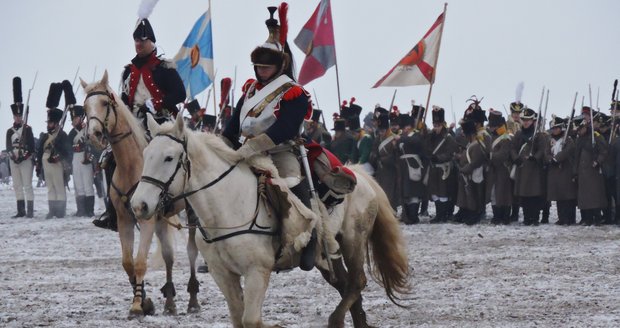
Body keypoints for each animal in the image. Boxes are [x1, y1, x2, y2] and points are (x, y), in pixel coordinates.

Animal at [80, 72, 200, 316]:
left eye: (104, 103)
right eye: (85, 107)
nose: (94, 135)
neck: (130, 164)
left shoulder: (147, 221)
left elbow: (140, 261)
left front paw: (137, 304)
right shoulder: (125, 220)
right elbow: (128, 262)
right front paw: (144, 299)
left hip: (189, 214)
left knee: (191, 250)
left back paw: (193, 298)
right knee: (168, 256)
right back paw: (169, 300)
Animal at [131, 113, 412, 328]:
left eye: (169, 157)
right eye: (145, 153)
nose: (138, 205)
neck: (226, 205)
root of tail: (362, 176)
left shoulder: (257, 272)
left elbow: (252, 320)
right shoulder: (223, 274)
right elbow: (239, 319)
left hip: (353, 241)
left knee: (356, 283)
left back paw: (335, 319)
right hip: (327, 256)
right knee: (347, 287)